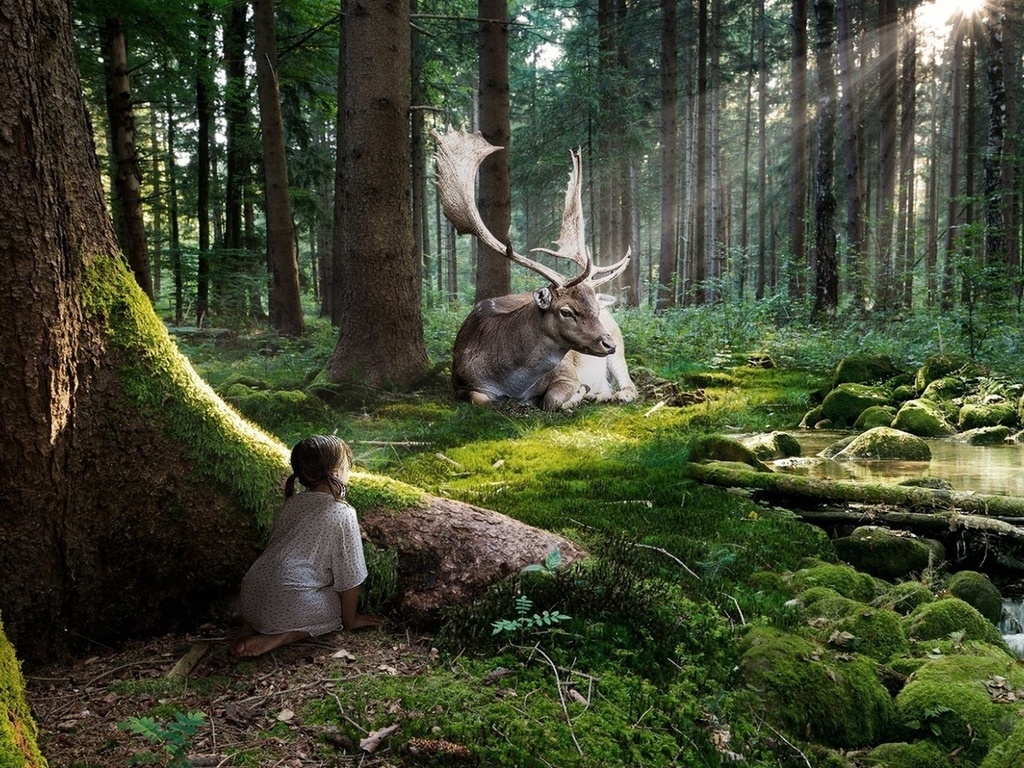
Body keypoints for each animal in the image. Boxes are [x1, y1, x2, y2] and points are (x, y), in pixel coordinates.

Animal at [434, 129, 638, 411]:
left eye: (595, 310)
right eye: (566, 311)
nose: (607, 343)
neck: (512, 383)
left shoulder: (567, 373)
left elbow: (552, 399)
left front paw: (577, 393)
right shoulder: (460, 381)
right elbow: (481, 399)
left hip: (619, 344)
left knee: (629, 382)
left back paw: (614, 394)